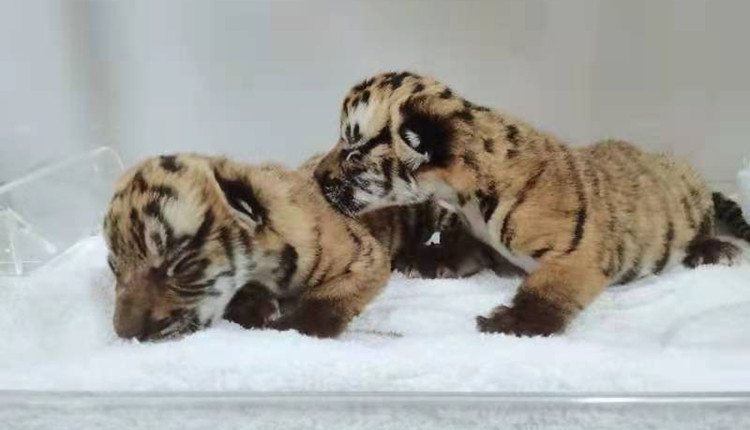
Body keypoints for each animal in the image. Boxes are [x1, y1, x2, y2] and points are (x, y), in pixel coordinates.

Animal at [103, 153, 390, 341]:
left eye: (180, 266)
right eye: (114, 268)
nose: (125, 334)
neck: (266, 268)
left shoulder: (368, 258)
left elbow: (327, 301)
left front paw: (285, 328)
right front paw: (257, 311)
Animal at [313, 71, 750, 337]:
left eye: (353, 151)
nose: (316, 176)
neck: (463, 196)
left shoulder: (577, 255)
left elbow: (546, 292)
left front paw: (510, 321)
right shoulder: (474, 236)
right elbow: (458, 249)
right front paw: (424, 260)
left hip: (690, 199)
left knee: (704, 225)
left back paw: (715, 249)